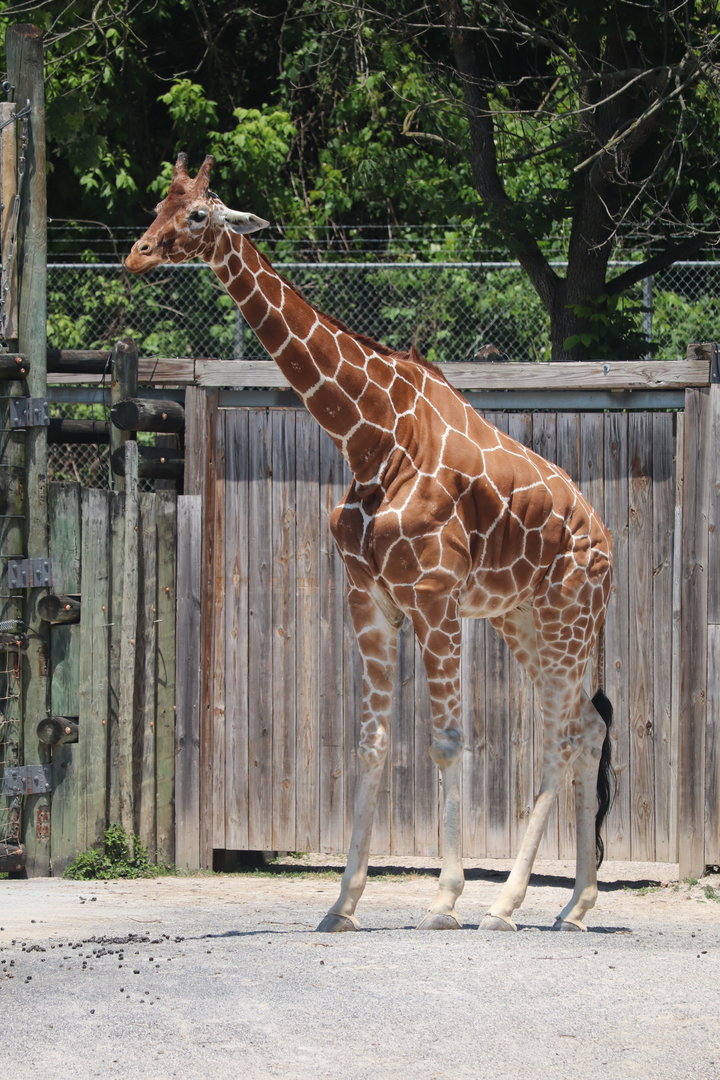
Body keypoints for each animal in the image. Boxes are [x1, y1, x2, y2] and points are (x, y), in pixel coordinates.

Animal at [126, 154, 615, 933]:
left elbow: (446, 740)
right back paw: (573, 906)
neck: (371, 438)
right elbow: (370, 743)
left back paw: (504, 904)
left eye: (198, 214)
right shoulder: (371, 598)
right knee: (585, 729)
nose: (136, 255)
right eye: (156, 208)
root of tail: (606, 540)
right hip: (524, 620)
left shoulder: (436, 598)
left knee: (565, 736)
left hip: (567, 614)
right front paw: (343, 903)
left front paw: (444, 900)